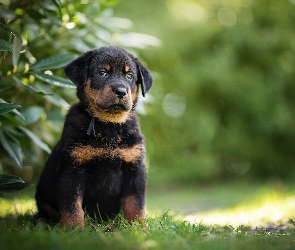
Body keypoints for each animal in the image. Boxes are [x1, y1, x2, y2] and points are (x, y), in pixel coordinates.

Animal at [35, 46, 154, 229]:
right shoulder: (72, 169)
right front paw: (73, 230)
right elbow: (71, 205)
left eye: (129, 76)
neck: (109, 126)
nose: (121, 91)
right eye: (102, 72)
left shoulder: (135, 168)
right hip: (42, 197)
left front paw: (138, 228)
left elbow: (136, 203)